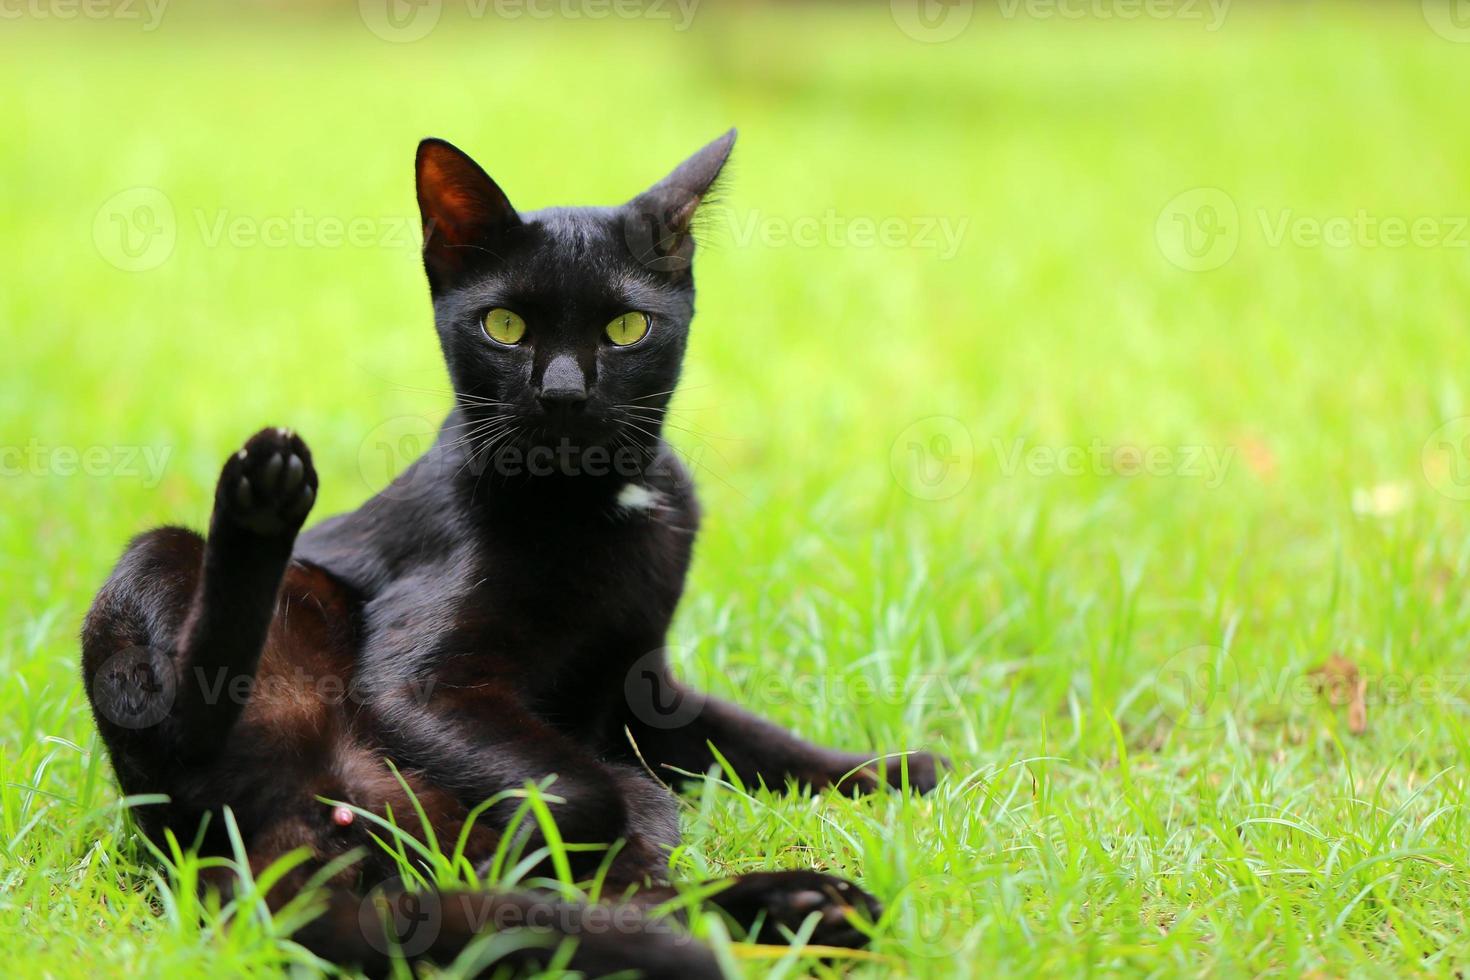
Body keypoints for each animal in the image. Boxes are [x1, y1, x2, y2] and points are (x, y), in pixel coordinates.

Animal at [83, 132, 940, 980]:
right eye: (504, 326)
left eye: (626, 329)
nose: (562, 392)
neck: (596, 506)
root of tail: (296, 826)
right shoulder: (422, 686)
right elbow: (588, 794)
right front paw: (545, 840)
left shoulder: (639, 688)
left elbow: (757, 740)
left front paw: (894, 770)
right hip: (162, 571)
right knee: (188, 726)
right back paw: (263, 499)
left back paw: (807, 905)